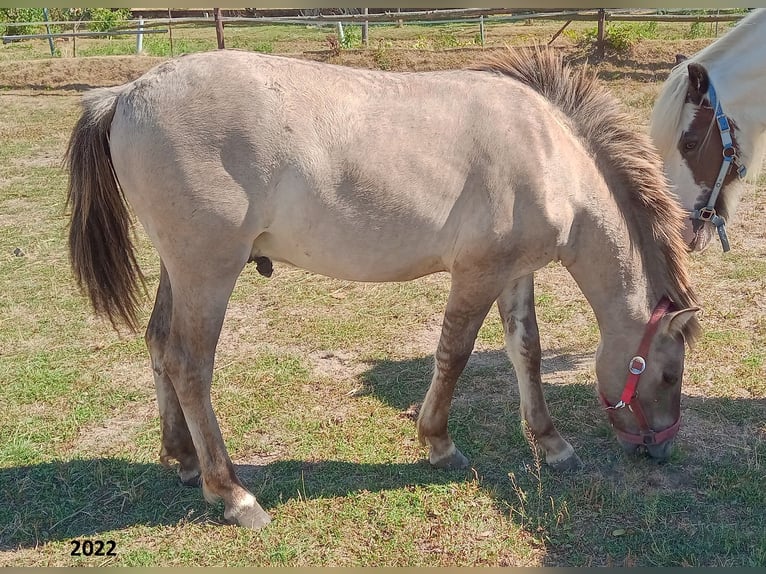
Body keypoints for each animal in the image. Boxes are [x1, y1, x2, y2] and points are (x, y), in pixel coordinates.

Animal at [66, 48, 704, 532]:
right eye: (670, 375)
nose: (663, 449)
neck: (548, 154)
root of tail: (127, 93)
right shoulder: (476, 273)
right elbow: (454, 354)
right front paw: (439, 443)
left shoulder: (514, 272)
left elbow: (527, 352)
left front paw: (550, 442)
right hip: (208, 273)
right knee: (189, 365)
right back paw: (232, 493)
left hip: (180, 271)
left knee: (157, 346)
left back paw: (182, 459)